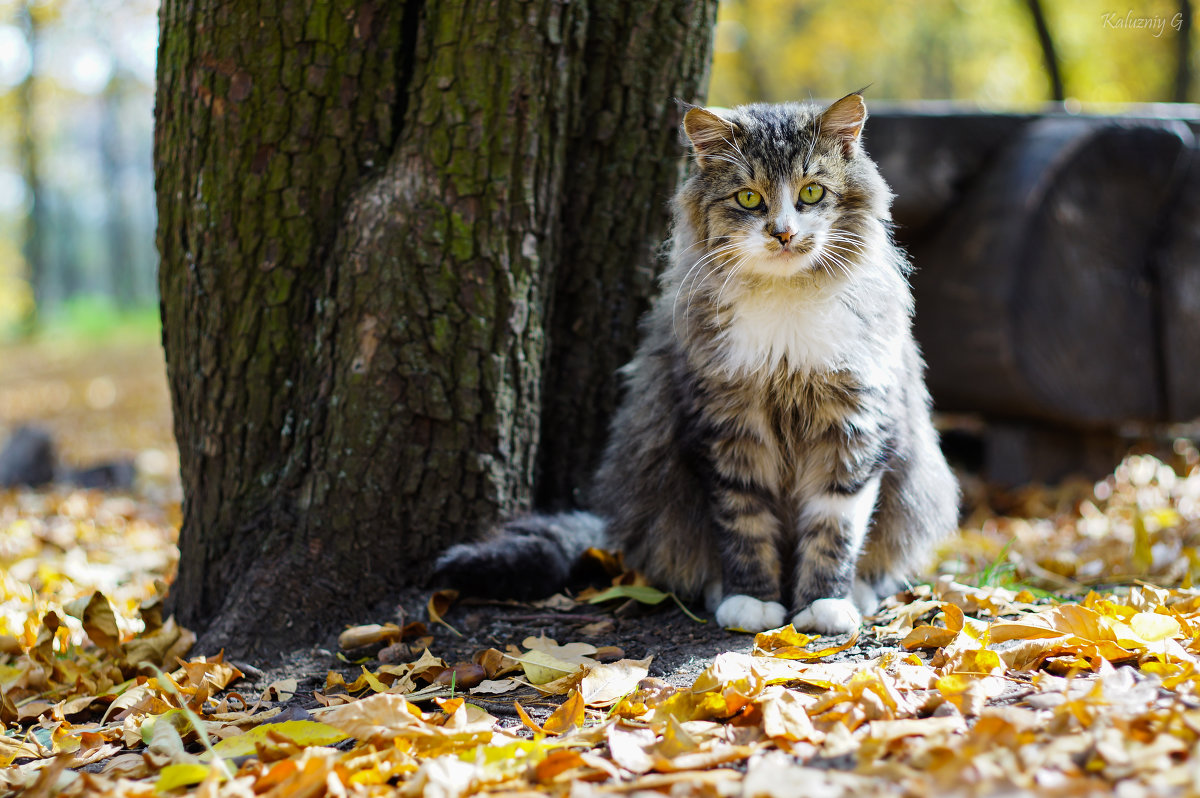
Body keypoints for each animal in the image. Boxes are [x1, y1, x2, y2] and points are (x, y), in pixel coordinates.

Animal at [436, 93, 960, 633]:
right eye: (748, 199)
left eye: (812, 192)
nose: (783, 234)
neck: (785, 314)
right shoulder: (727, 426)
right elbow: (744, 525)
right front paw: (751, 602)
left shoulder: (853, 424)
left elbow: (835, 528)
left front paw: (822, 605)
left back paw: (857, 593)